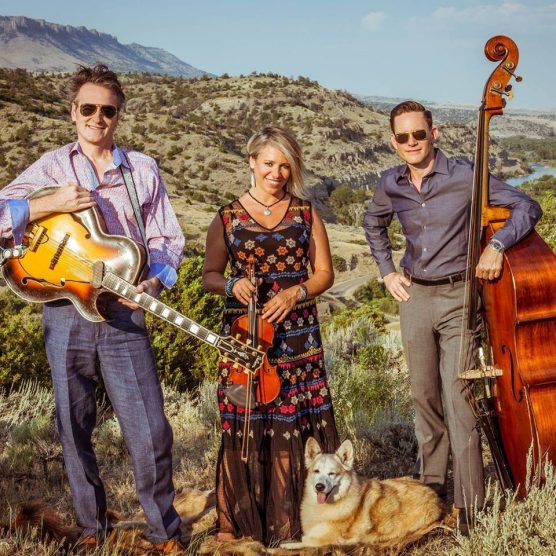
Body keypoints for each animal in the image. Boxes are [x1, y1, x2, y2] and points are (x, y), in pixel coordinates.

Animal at [282, 438, 444, 552]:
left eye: (332, 473)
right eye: (316, 471)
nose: (319, 487)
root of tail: (436, 498)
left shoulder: (324, 539)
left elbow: (304, 541)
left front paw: (288, 545)